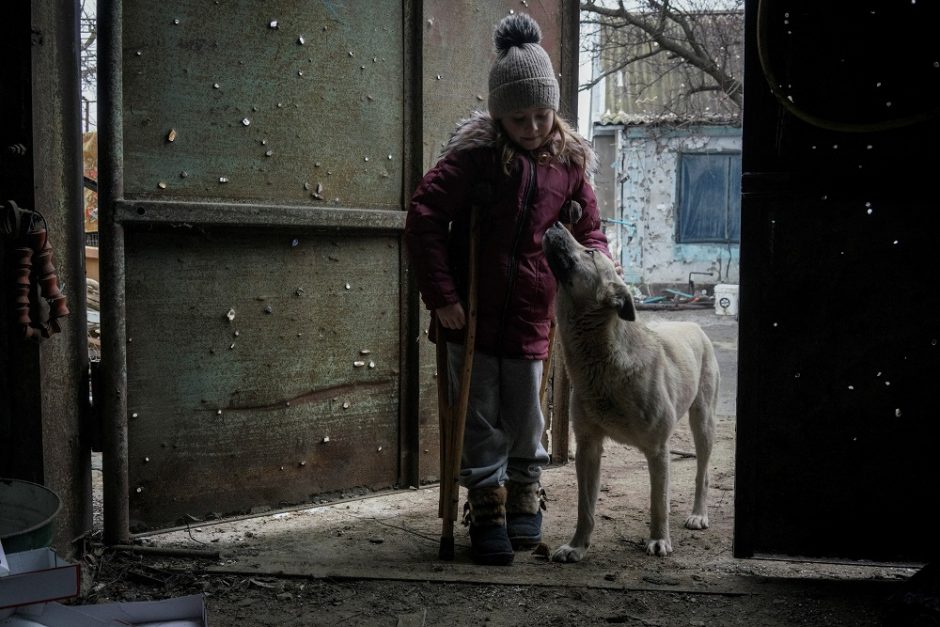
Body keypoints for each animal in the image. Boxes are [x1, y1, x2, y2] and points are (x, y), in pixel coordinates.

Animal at [540, 223, 716, 556]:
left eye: (590, 251)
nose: (556, 223)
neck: (603, 361)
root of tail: (693, 324)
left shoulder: (658, 450)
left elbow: (658, 502)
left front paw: (659, 539)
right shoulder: (588, 446)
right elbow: (585, 507)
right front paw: (577, 546)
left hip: (703, 423)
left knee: (702, 474)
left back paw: (699, 514)